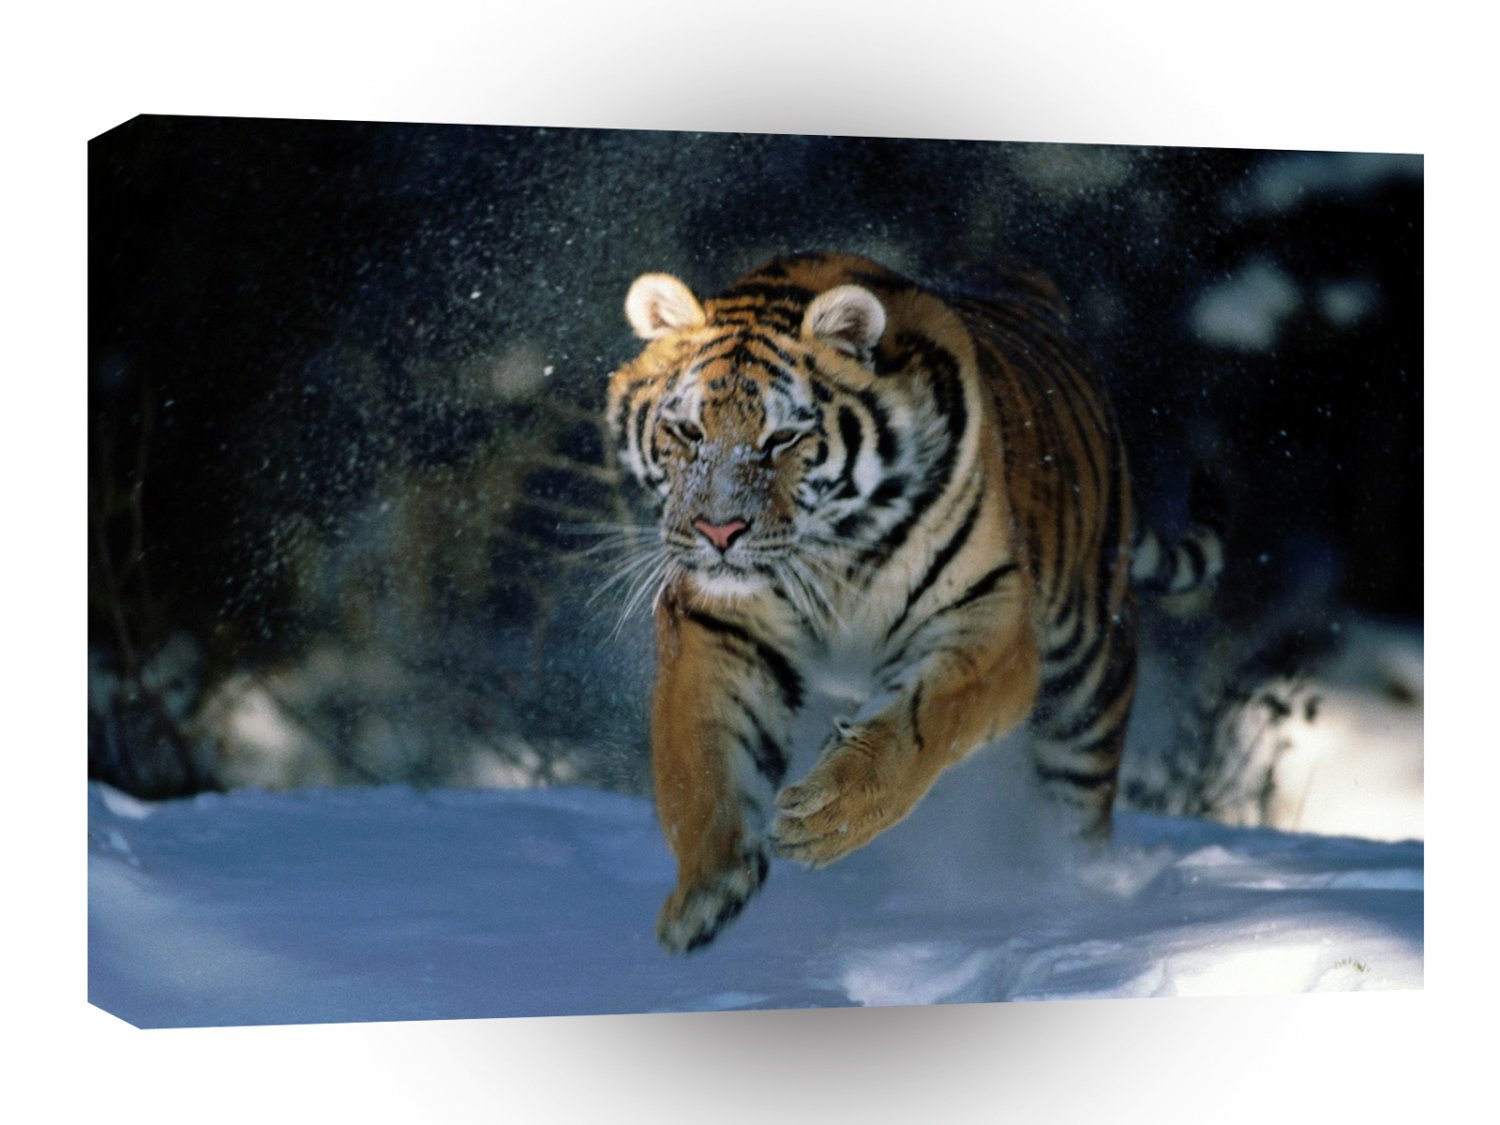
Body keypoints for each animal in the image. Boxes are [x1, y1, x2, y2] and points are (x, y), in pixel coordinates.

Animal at [604, 251, 1222, 954]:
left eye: (782, 439)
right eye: (687, 430)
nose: (718, 531)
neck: (834, 550)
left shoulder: (988, 616)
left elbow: (921, 724)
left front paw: (831, 817)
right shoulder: (718, 624)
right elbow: (702, 757)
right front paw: (707, 891)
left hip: (1089, 688)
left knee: (1078, 812)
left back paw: (1079, 897)